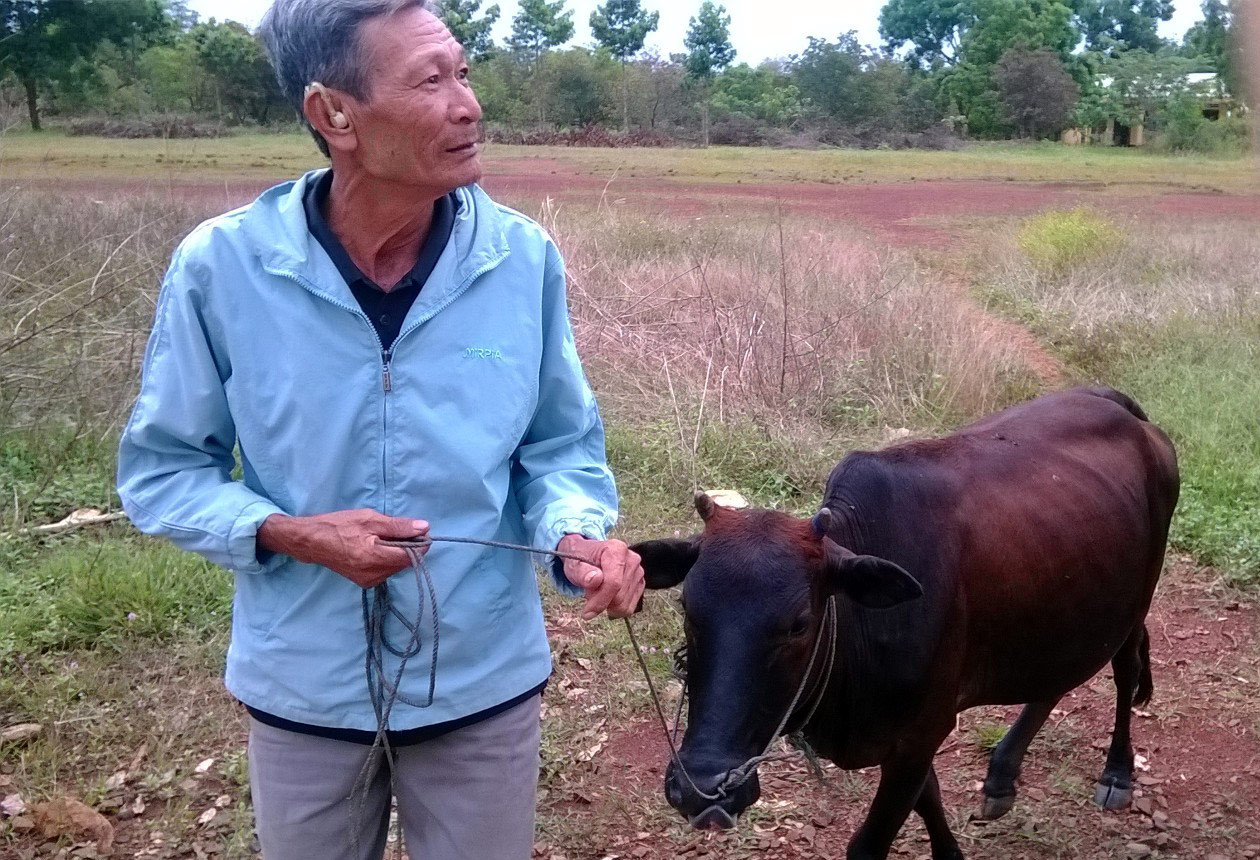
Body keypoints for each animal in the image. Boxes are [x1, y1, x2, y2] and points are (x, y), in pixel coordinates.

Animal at [635, 387, 1174, 860]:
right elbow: (928, 798)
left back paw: (1117, 774)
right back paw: (1002, 774)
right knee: (1055, 677)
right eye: (686, 607)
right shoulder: (911, 738)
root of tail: (1118, 405)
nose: (701, 788)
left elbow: (871, 841)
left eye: (800, 623)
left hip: (1137, 598)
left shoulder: (923, 731)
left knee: (1125, 671)